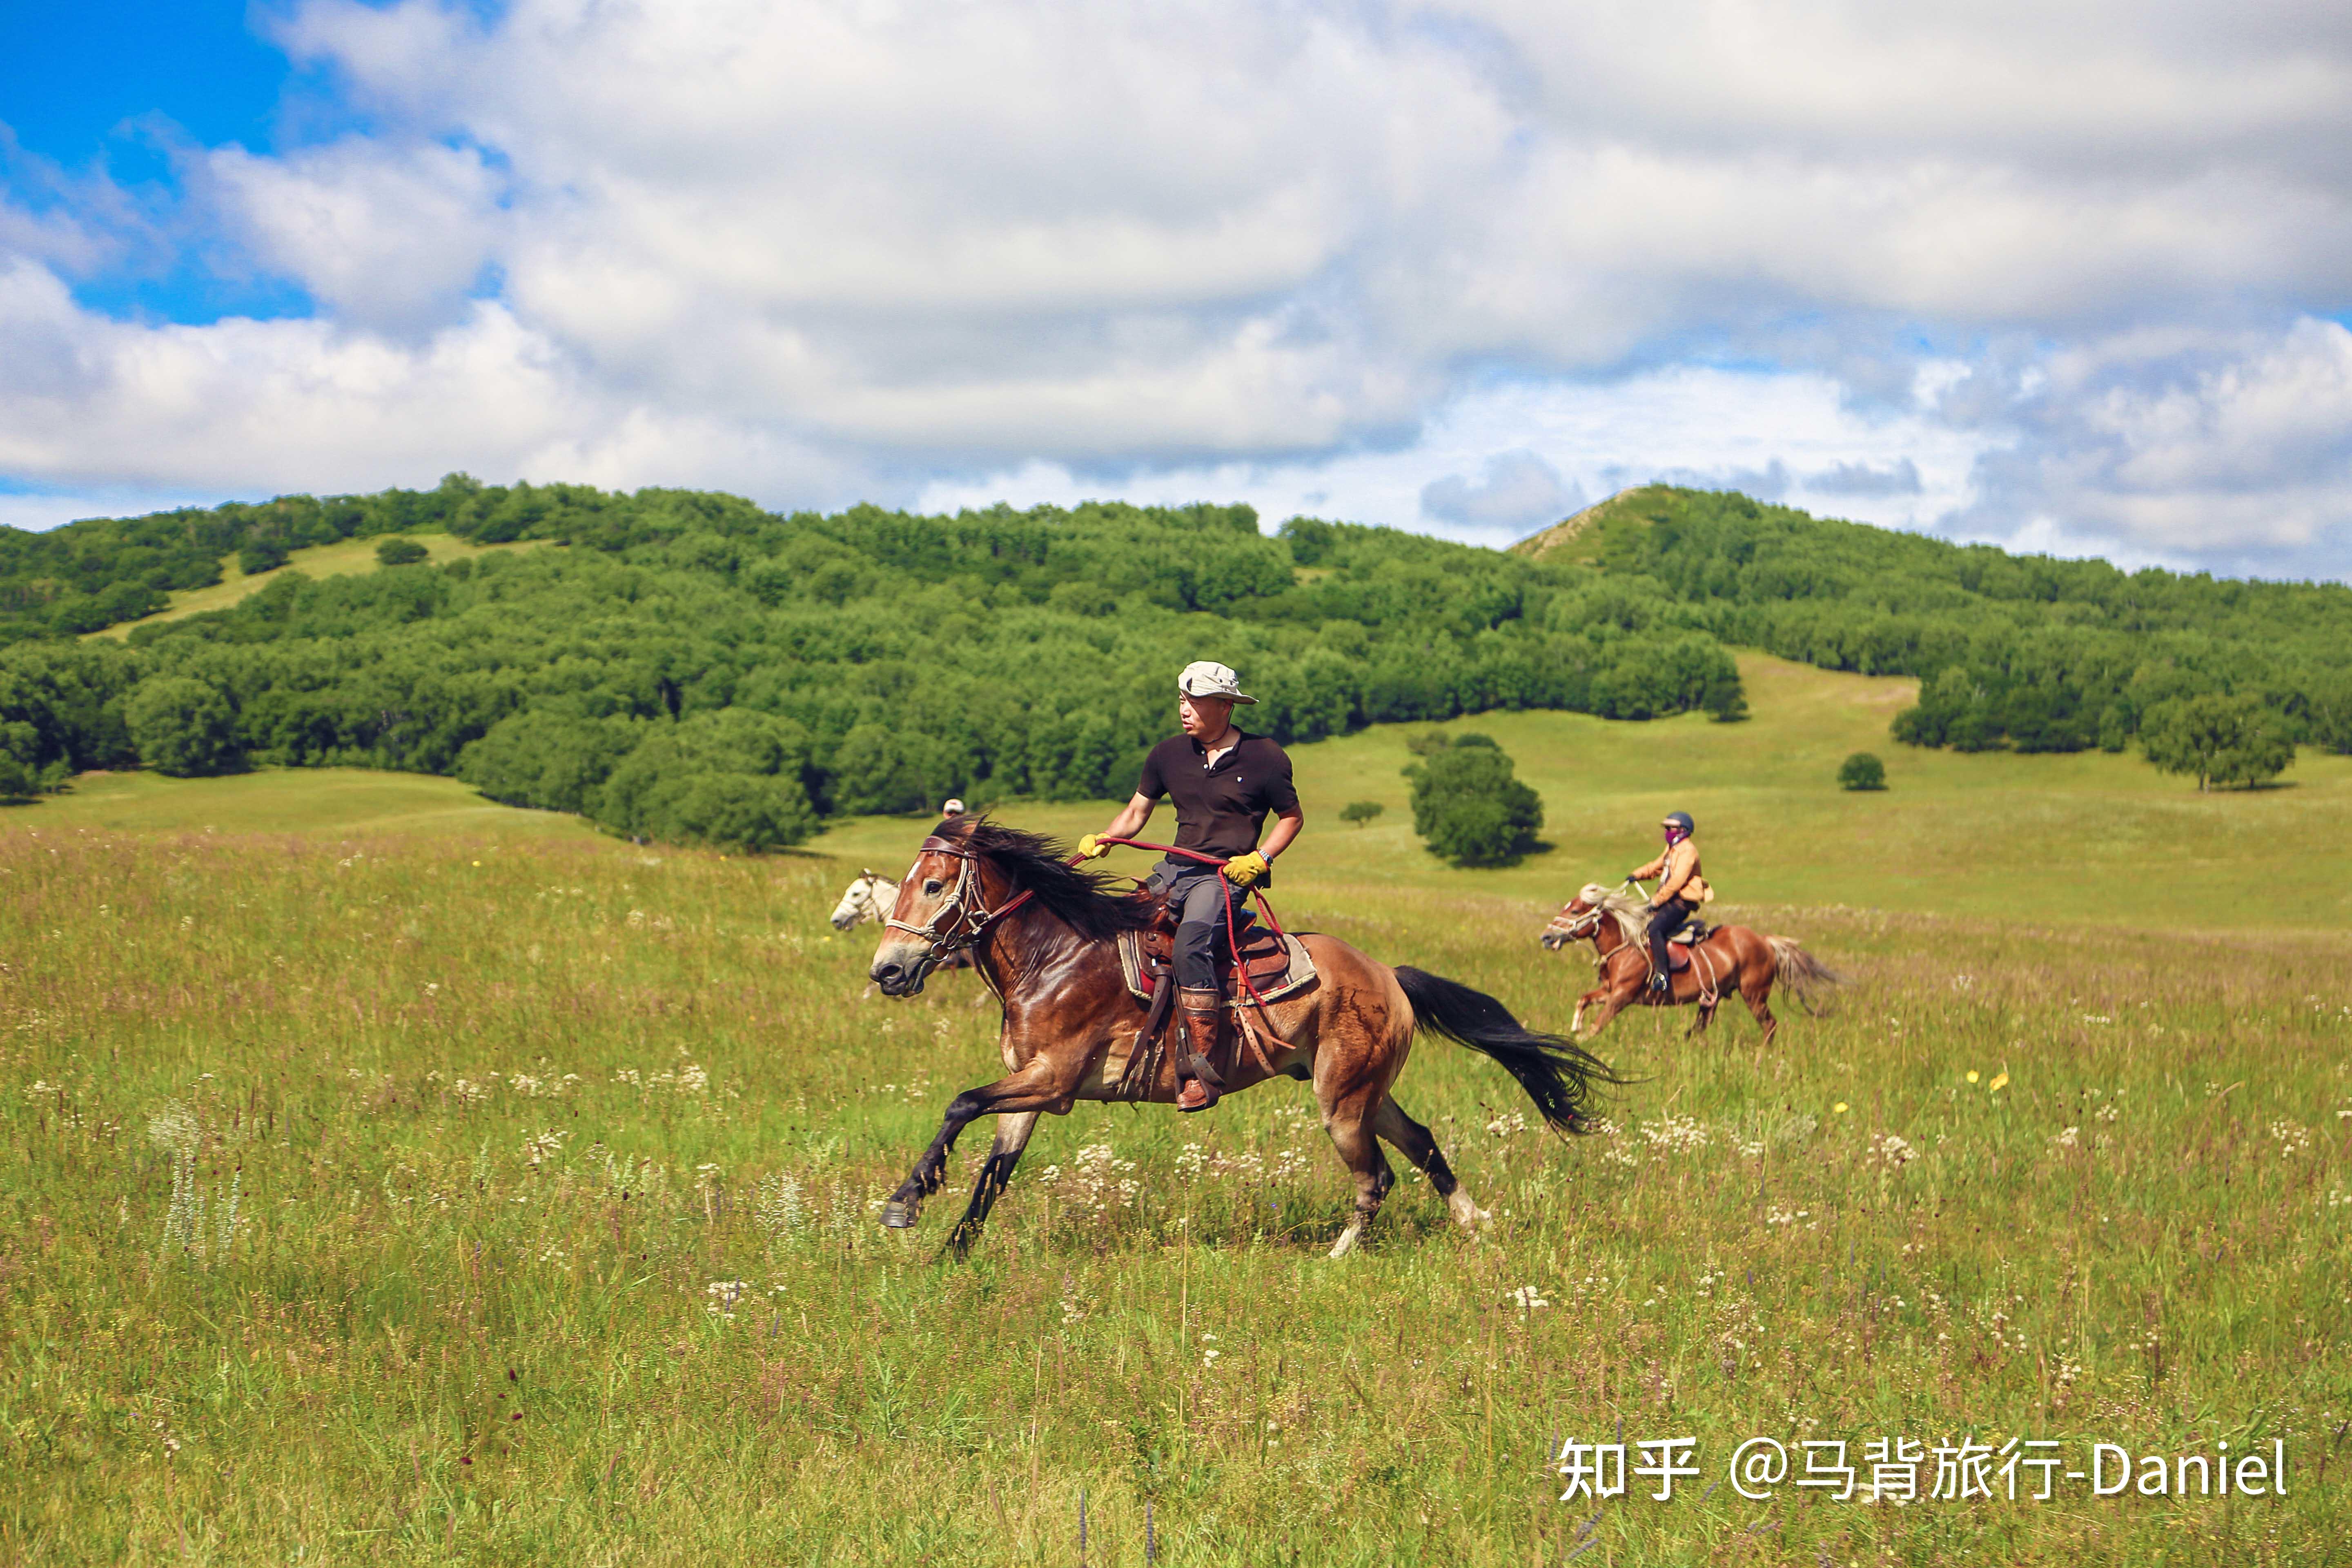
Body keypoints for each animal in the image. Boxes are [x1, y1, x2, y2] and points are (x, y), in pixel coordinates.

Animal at [865, 818, 1618, 1260]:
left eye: (934, 885)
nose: (887, 972)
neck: (1057, 956)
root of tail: (1390, 976)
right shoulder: (1030, 1092)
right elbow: (994, 1173)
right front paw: (951, 1254)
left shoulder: (1052, 1081)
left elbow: (961, 1103)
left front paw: (905, 1203)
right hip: (1368, 1095)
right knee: (1424, 1144)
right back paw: (1475, 1223)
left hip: (1342, 1103)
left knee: (1376, 1175)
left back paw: (1337, 1259)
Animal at [1543, 884, 1834, 1044]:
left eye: (1575, 911)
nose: (1546, 938)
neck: (1626, 947)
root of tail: (1764, 941)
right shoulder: (1609, 991)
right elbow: (1584, 1000)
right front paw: (1575, 1027)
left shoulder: (1622, 995)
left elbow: (1598, 1025)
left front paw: (1581, 1041)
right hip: (1712, 998)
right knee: (1701, 1027)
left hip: (1755, 995)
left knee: (1770, 1025)